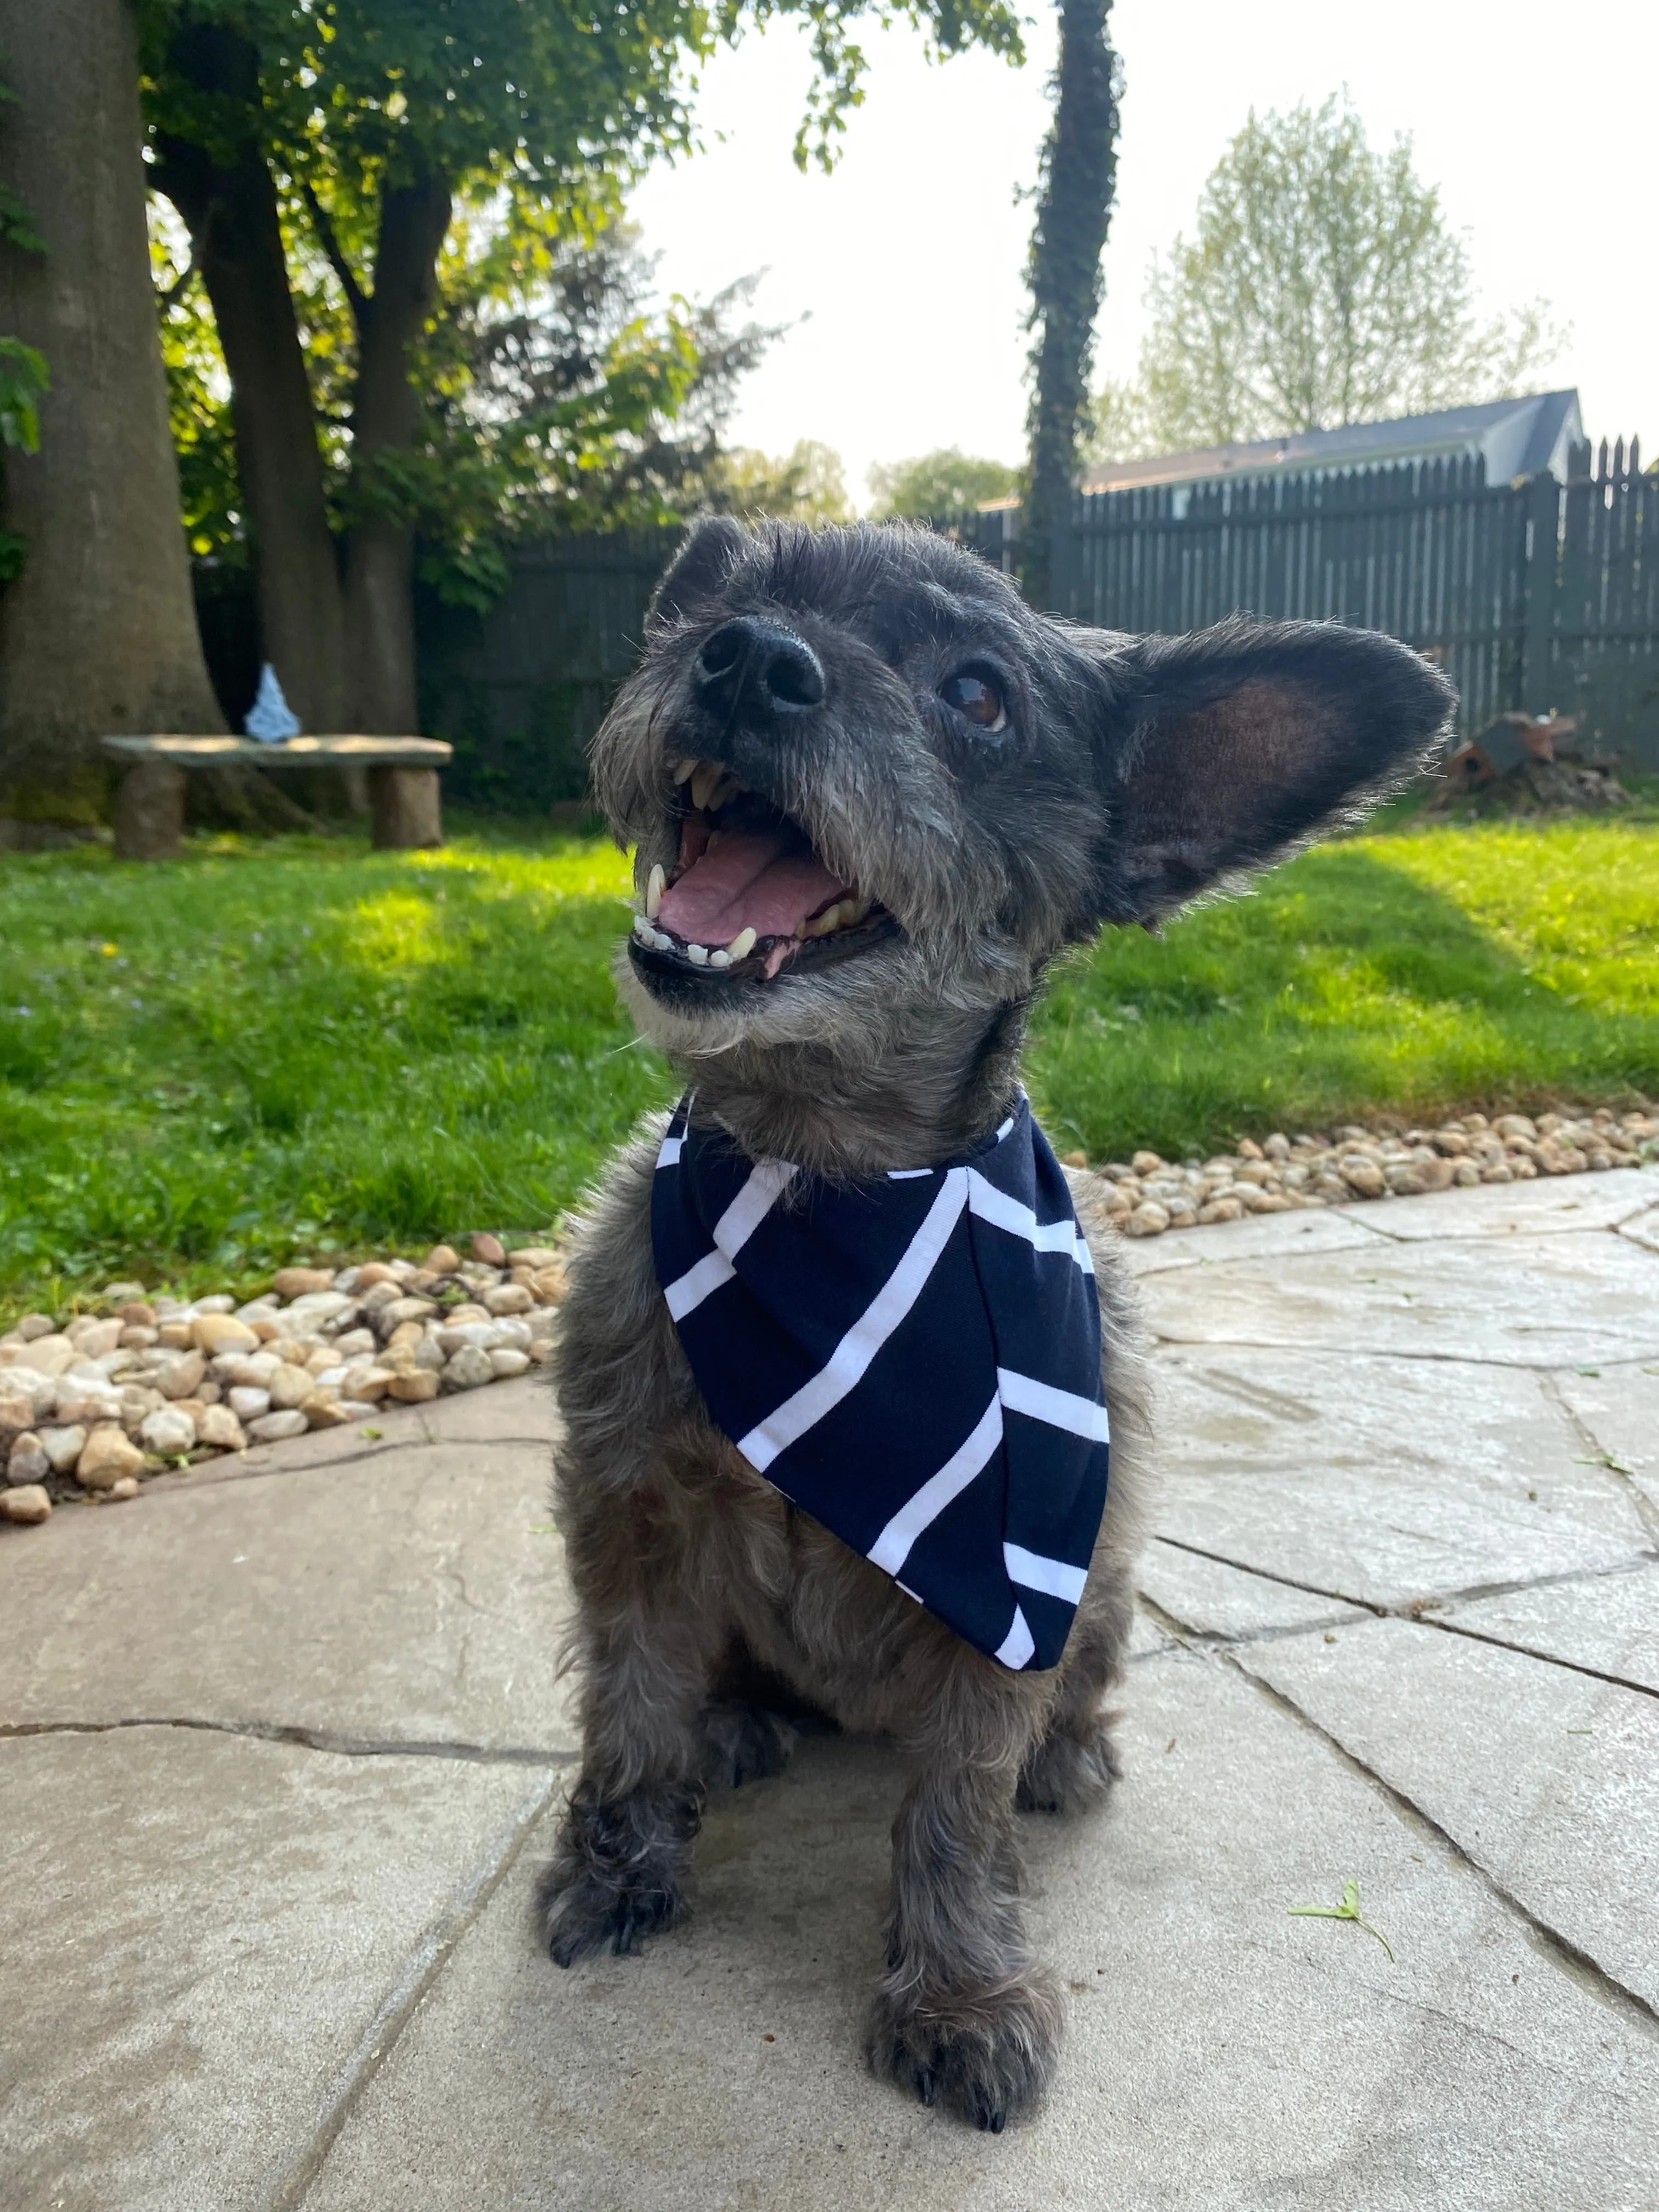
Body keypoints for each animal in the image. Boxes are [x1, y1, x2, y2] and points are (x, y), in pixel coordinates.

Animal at [535, 517, 1451, 2123]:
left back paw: (1065, 1761)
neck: (827, 1184)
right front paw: (618, 1868)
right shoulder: (627, 1504)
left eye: (977, 695)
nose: (747, 661)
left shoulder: (1006, 1586)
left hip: (1101, 1590)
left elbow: (952, 1808)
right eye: (730, 595)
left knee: (1064, 1706)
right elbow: (631, 1702)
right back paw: (736, 1723)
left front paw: (959, 1991)